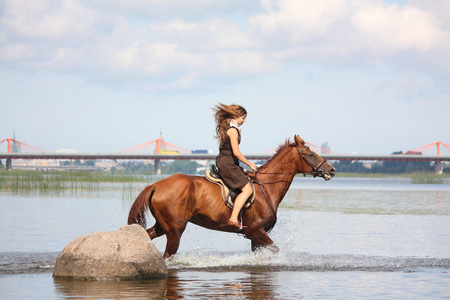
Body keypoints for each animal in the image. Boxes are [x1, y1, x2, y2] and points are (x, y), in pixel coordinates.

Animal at [126, 134, 334, 258]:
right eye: (310, 154)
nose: (331, 170)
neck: (266, 188)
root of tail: (155, 185)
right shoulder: (255, 231)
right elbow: (276, 249)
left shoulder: (256, 236)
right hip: (175, 230)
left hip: (163, 226)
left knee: (146, 236)